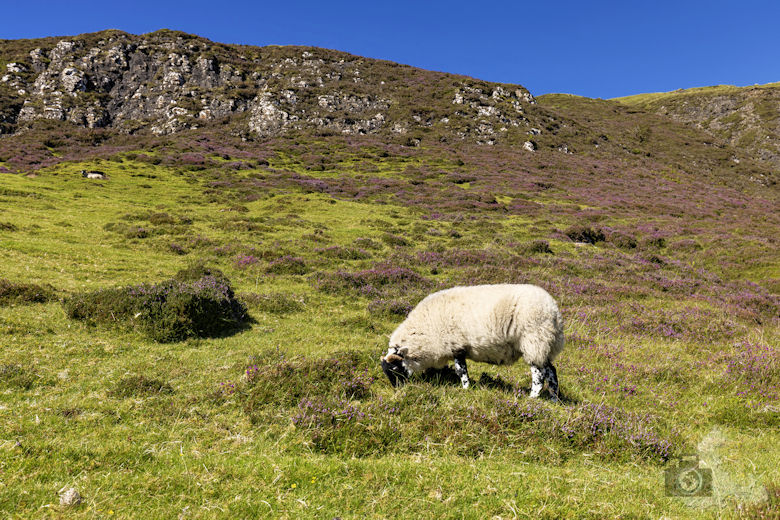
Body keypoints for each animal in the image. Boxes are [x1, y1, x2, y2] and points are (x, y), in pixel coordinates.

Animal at [380, 284, 564, 398]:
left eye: (395, 367)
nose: (397, 389)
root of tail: (554, 310)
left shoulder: (456, 346)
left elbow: (461, 371)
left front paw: (466, 388)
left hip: (534, 342)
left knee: (539, 374)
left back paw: (532, 398)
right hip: (545, 345)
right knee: (551, 372)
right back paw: (554, 399)